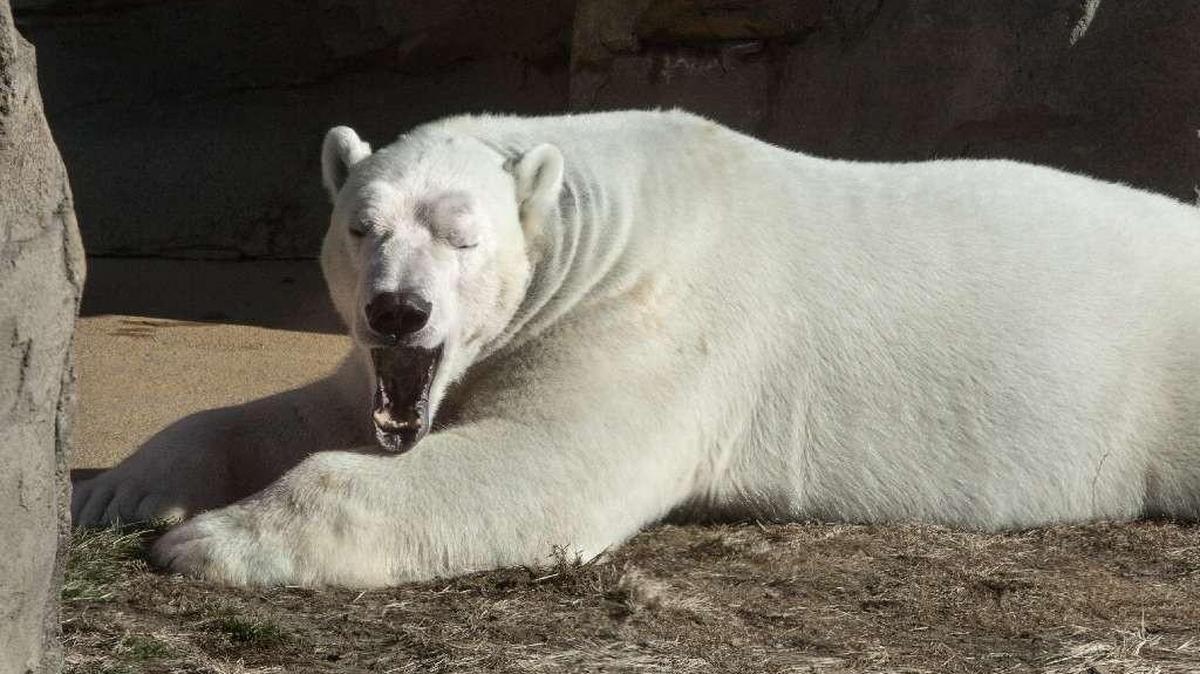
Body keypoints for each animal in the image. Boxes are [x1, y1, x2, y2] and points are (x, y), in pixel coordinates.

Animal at [72, 109, 1200, 587]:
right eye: (362, 225)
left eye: (464, 234)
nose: (399, 311)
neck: (595, 221)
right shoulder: (405, 370)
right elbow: (324, 408)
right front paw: (120, 492)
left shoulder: (647, 315)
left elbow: (547, 464)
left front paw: (209, 540)